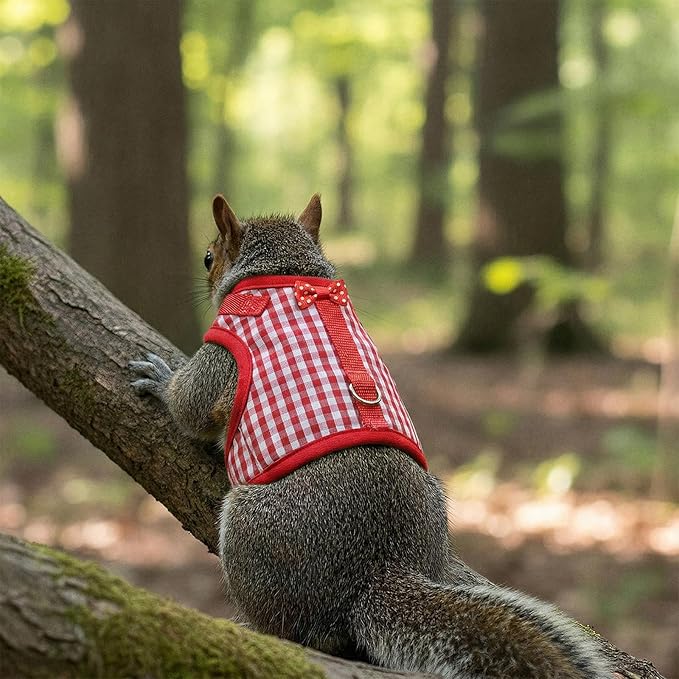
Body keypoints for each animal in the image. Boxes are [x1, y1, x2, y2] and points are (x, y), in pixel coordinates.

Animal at [129, 194, 612, 679]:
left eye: (208, 257)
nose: (205, 277)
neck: (285, 270)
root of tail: (377, 569)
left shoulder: (222, 355)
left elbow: (190, 405)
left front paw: (162, 380)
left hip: (252, 534)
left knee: (299, 627)